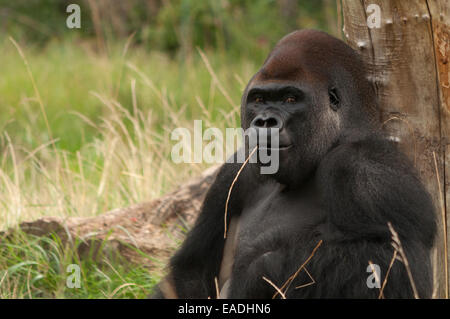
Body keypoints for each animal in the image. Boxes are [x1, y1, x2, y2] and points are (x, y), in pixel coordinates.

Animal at [152, 29, 436, 300]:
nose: (265, 122)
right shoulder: (233, 173)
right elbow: (192, 269)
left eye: (290, 99)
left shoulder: (364, 169)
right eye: (259, 100)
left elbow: (394, 266)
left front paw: (262, 269)